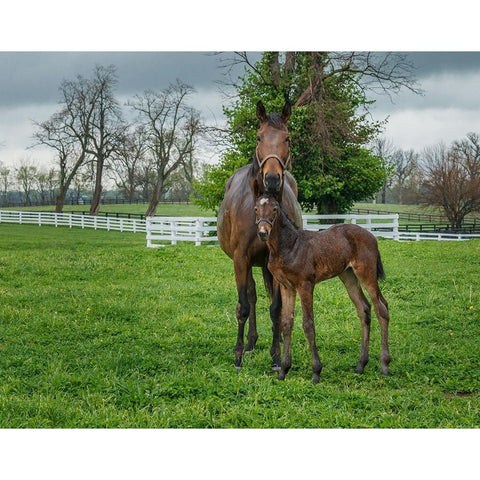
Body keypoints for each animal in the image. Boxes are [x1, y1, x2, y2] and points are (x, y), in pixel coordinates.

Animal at [218, 100, 304, 372]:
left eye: (287, 138)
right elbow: (243, 306)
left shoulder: (275, 262)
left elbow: (276, 308)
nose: (273, 178)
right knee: (251, 296)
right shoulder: (240, 260)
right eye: (259, 137)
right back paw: (250, 342)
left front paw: (276, 356)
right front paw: (237, 355)